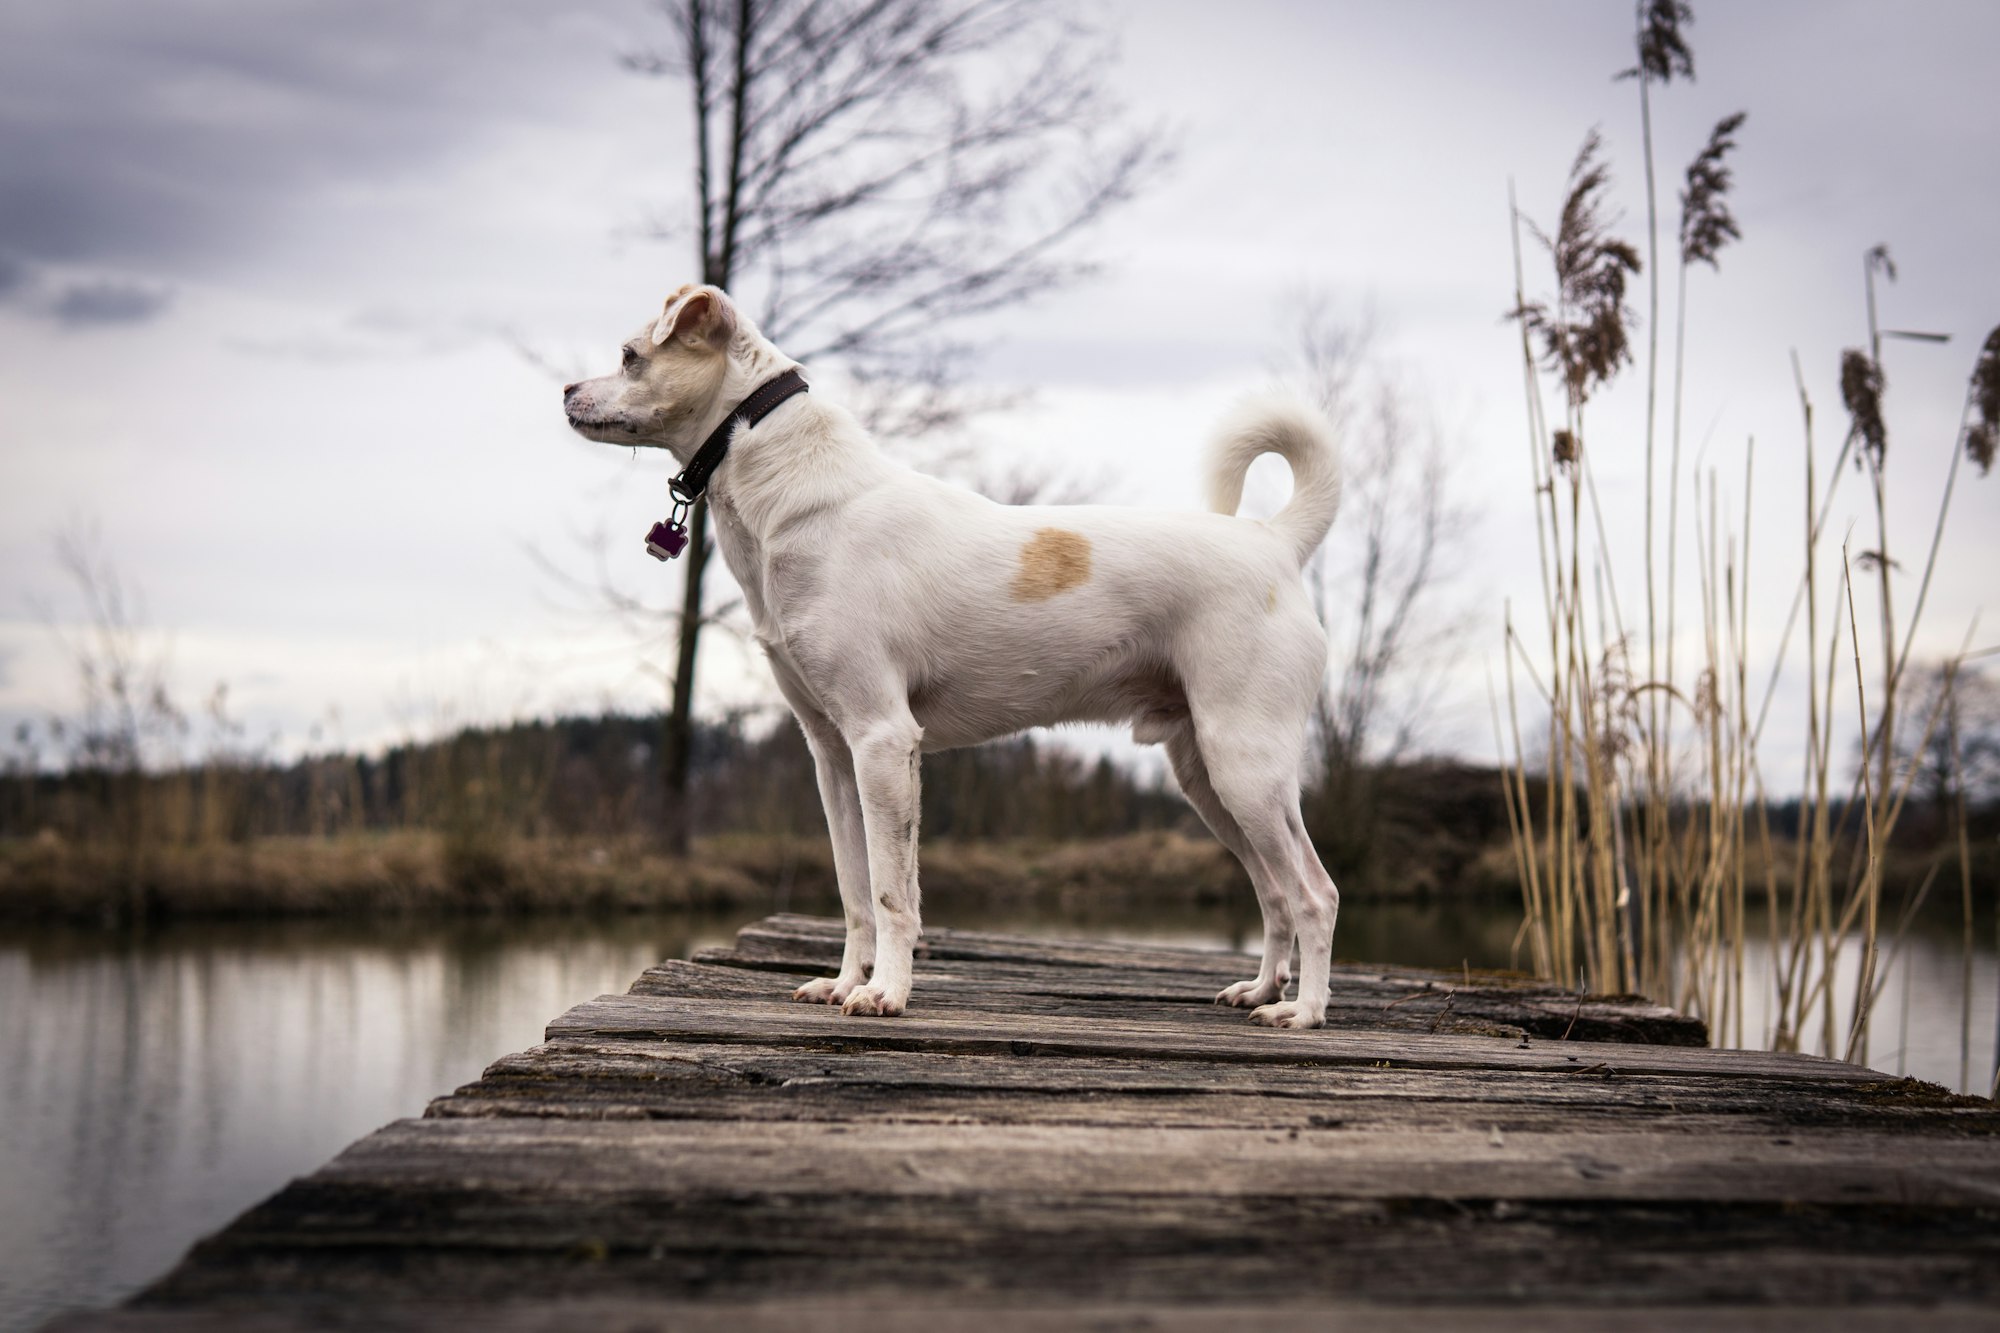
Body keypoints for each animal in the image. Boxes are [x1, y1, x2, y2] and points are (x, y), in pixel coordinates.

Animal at [564, 286, 1344, 1020]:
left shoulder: (883, 740)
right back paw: (1260, 988)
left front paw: (885, 994)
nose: (567, 392)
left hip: (1245, 768)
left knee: (1315, 891)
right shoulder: (834, 755)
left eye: (631, 356)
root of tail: (1275, 541)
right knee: (1274, 891)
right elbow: (854, 891)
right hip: (1207, 777)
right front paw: (846, 982)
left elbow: (890, 893)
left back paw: (1303, 1012)